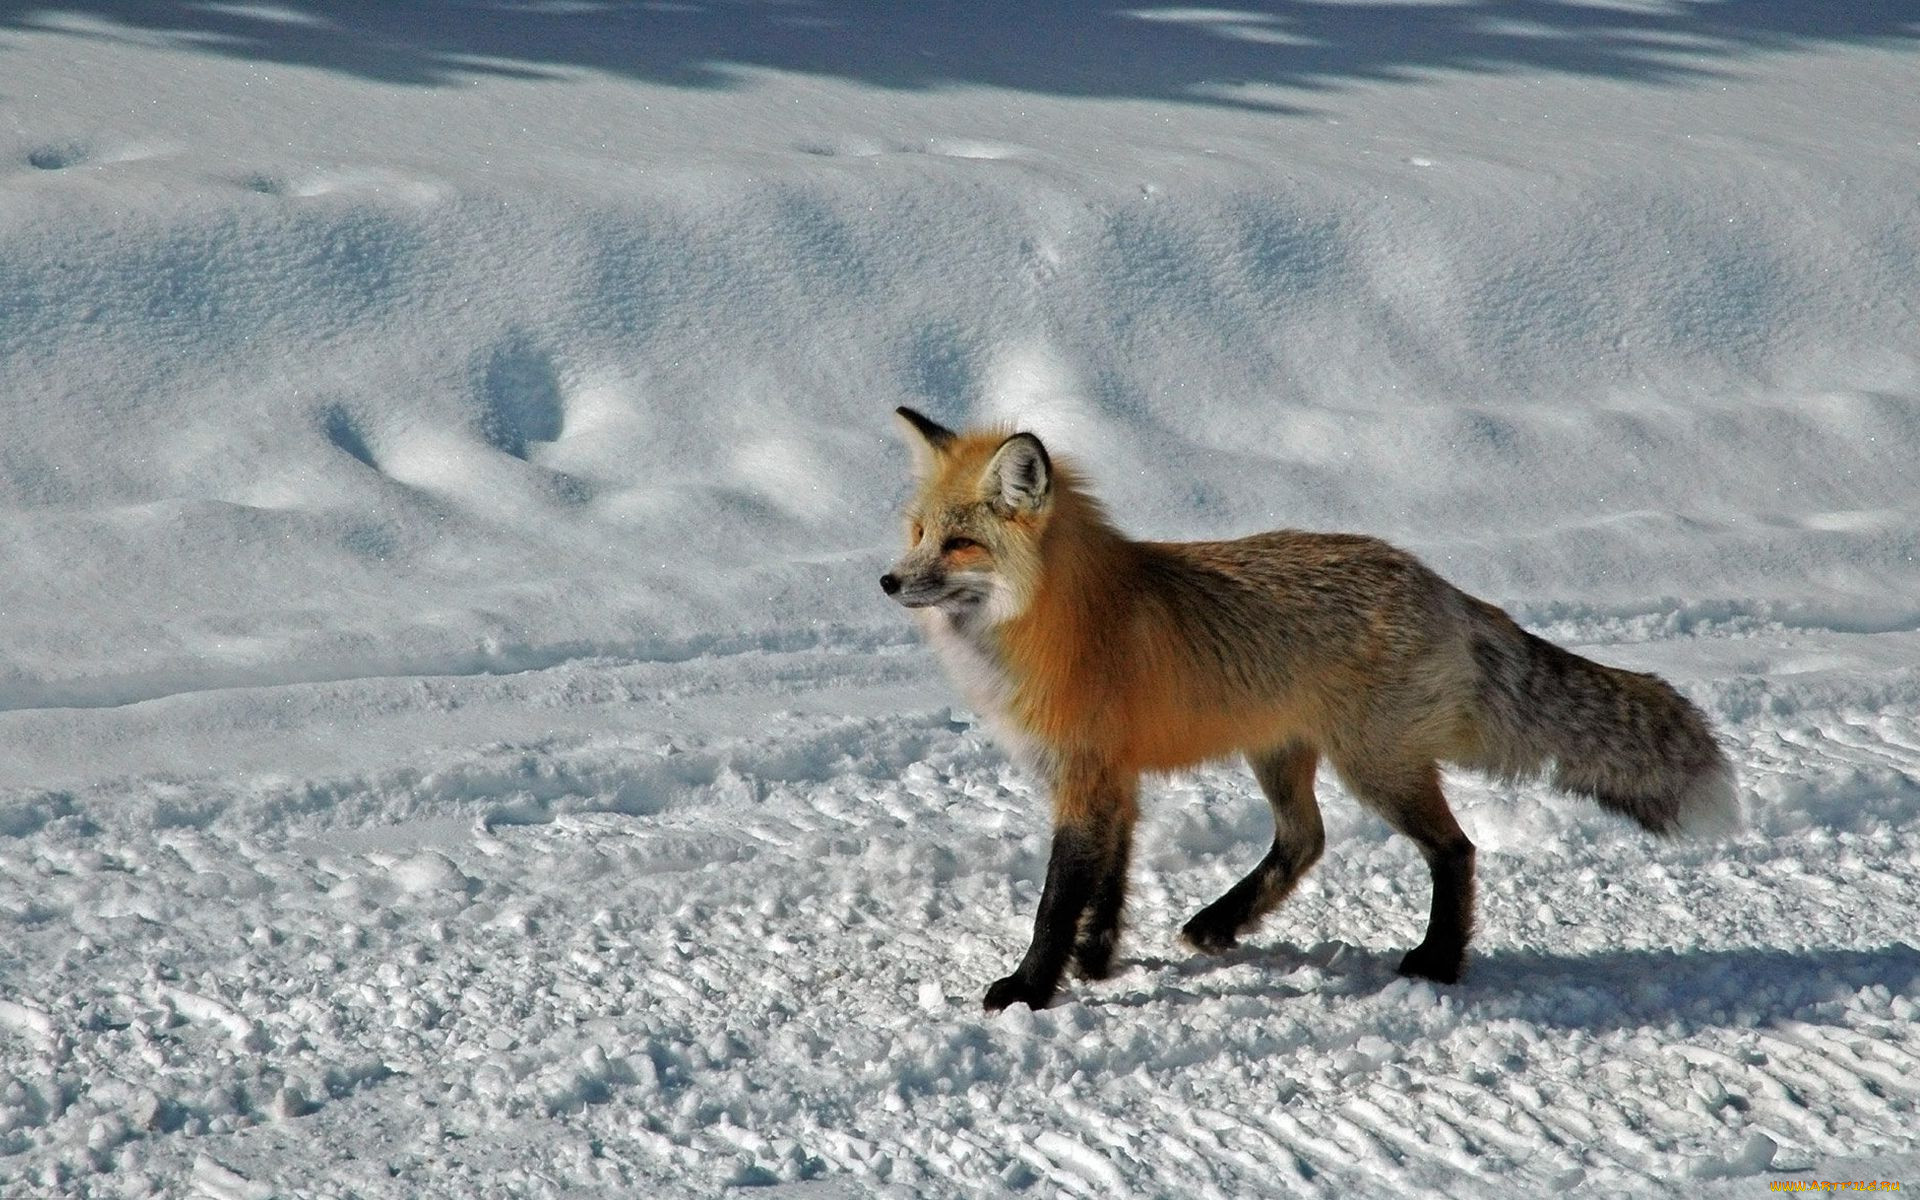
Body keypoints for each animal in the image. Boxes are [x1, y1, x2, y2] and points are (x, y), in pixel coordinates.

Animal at [883, 407, 1743, 1006]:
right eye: (919, 533)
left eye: (960, 544)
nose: (889, 582)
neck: (1059, 619)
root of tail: (1438, 584)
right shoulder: (1111, 778)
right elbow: (1108, 887)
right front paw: (1096, 963)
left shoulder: (1085, 778)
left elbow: (1056, 901)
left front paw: (1030, 989)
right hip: (1281, 754)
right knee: (1306, 840)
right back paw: (1221, 921)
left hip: (1376, 767)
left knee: (1455, 850)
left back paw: (1437, 962)